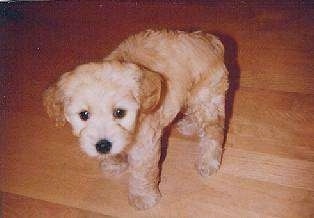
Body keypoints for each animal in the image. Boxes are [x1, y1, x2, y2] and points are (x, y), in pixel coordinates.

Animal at [43, 29, 228, 210]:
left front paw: (142, 197)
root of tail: (207, 39)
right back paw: (190, 125)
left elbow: (142, 173)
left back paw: (208, 161)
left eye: (119, 112)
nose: (103, 146)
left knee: (213, 130)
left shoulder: (145, 145)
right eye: (84, 115)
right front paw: (114, 163)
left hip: (206, 97)